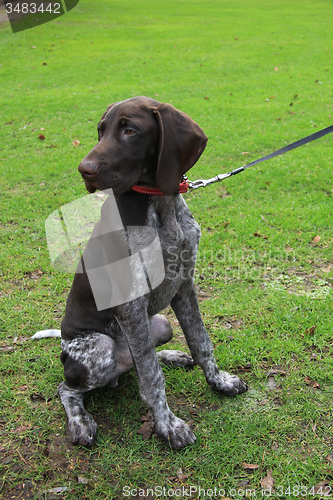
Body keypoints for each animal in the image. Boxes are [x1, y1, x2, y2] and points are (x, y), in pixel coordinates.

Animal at [53, 96, 246, 450]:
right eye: (100, 131)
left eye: (130, 130)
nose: (84, 170)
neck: (160, 205)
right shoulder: (131, 305)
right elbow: (152, 377)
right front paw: (168, 425)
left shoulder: (184, 285)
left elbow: (201, 342)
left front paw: (219, 381)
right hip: (99, 350)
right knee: (70, 388)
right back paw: (80, 421)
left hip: (159, 324)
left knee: (140, 360)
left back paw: (172, 355)